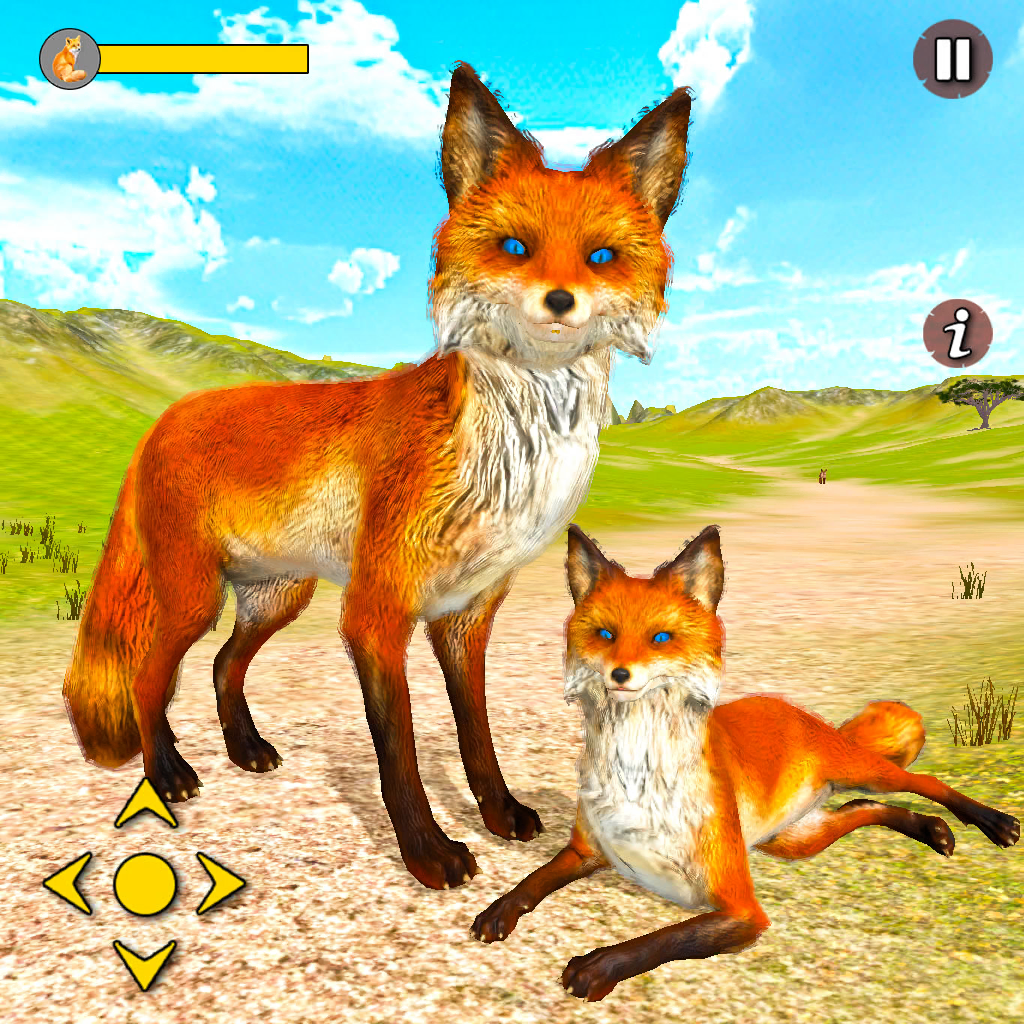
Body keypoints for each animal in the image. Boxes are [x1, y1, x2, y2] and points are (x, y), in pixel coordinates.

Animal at [61, 63, 693, 891]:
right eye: (515, 248)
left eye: (600, 258)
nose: (560, 301)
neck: (510, 458)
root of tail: (166, 417)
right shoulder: (375, 612)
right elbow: (400, 753)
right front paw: (428, 853)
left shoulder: (465, 616)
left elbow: (476, 735)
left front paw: (500, 814)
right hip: (196, 595)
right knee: (148, 676)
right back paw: (165, 772)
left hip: (277, 596)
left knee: (225, 666)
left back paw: (244, 748)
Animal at [471, 524, 1020, 1000]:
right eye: (605, 634)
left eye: (661, 639)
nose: (620, 674)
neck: (638, 776)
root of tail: (797, 710)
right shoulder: (586, 850)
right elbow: (533, 880)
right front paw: (498, 911)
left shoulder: (743, 910)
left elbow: (664, 938)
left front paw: (597, 965)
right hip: (796, 840)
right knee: (863, 810)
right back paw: (931, 830)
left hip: (861, 774)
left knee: (923, 779)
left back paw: (989, 822)